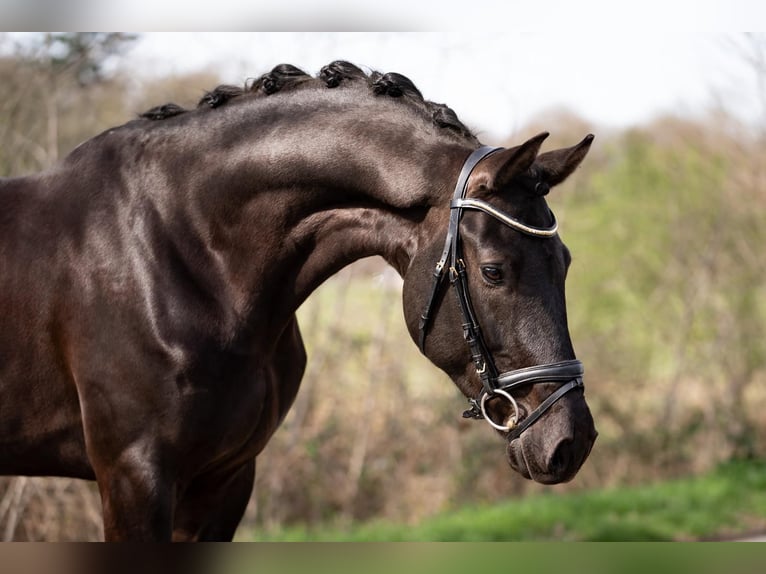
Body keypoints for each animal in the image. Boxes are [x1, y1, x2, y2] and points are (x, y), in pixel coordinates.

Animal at [0, 63, 600, 544]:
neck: (180, 249)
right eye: (494, 271)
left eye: (566, 262)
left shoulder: (226, 479)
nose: (572, 442)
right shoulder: (134, 476)